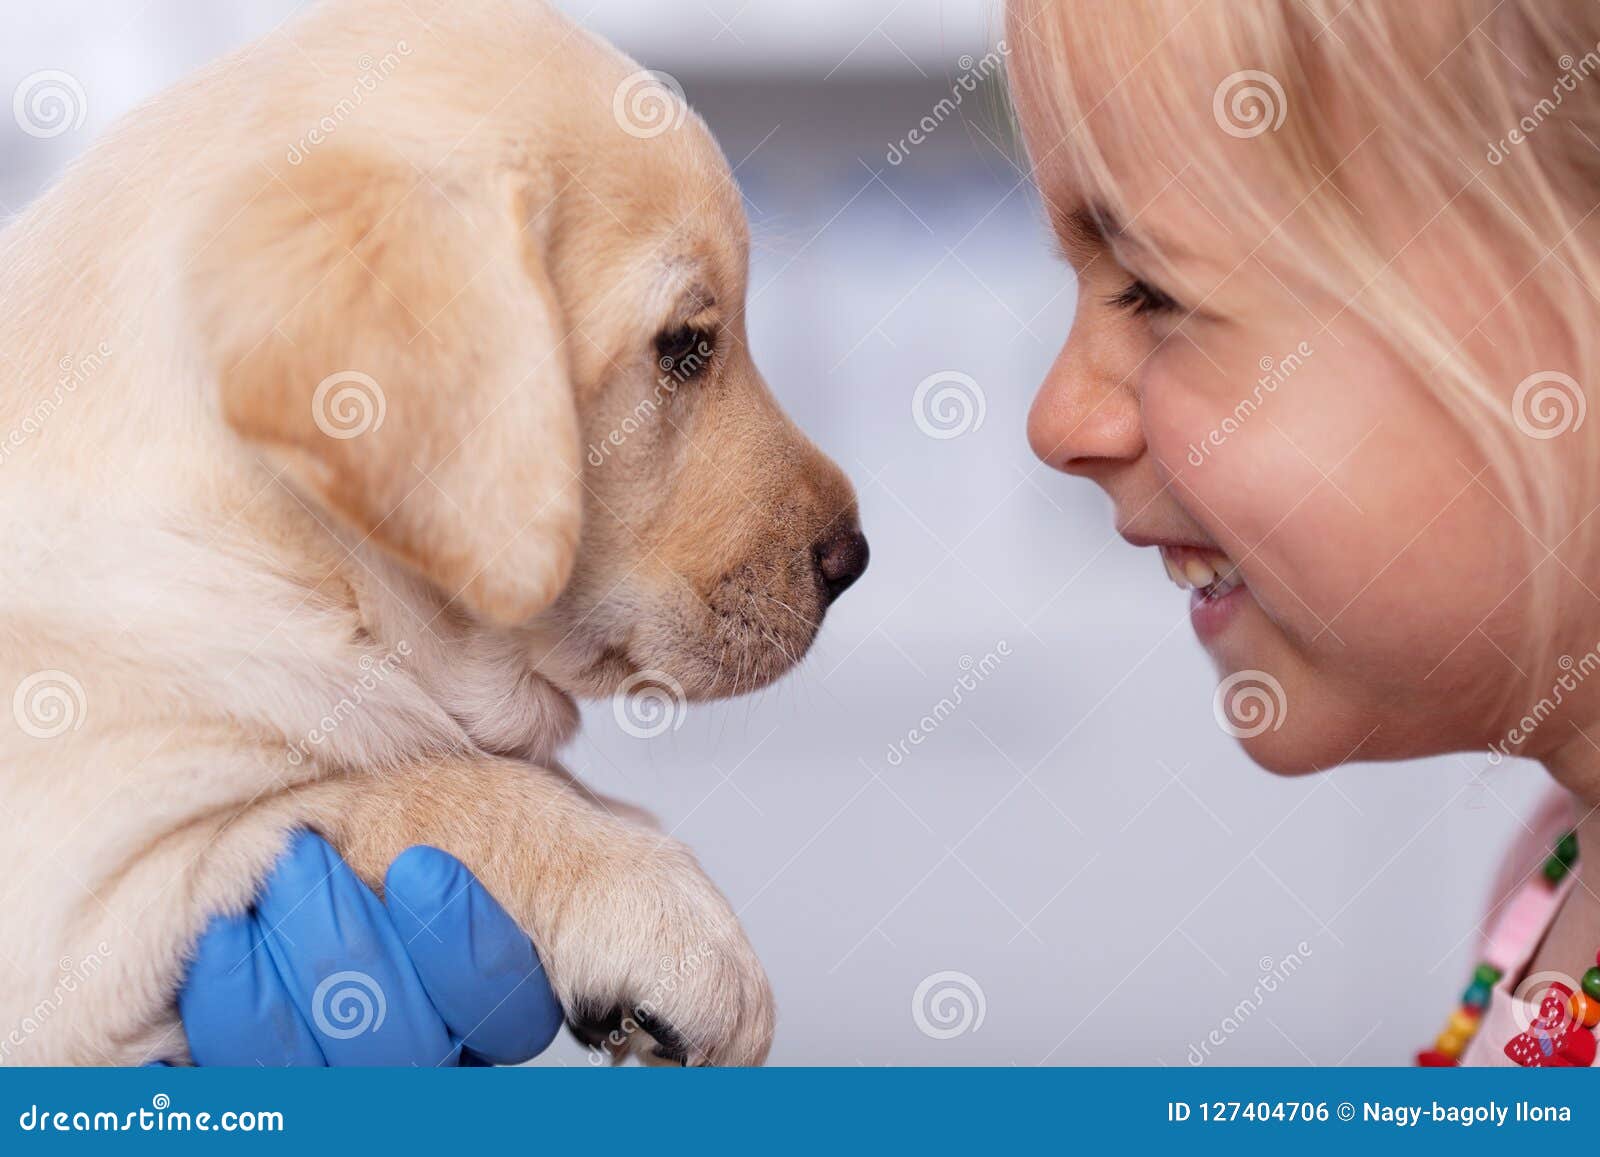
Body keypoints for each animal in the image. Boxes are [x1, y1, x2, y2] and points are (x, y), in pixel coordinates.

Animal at [0, 0, 864, 1068]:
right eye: (685, 347)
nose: (854, 558)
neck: (271, 553)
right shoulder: (88, 909)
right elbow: (406, 789)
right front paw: (660, 901)